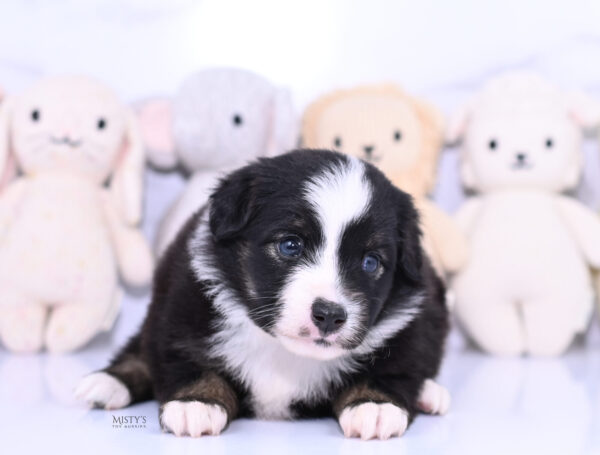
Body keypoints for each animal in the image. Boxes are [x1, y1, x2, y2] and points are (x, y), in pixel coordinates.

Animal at [76, 151, 450, 442]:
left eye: (371, 262)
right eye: (290, 245)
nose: (329, 315)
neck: (283, 352)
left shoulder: (411, 321)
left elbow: (394, 366)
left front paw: (374, 405)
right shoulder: (181, 307)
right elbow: (189, 359)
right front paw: (196, 402)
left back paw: (429, 393)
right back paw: (107, 383)